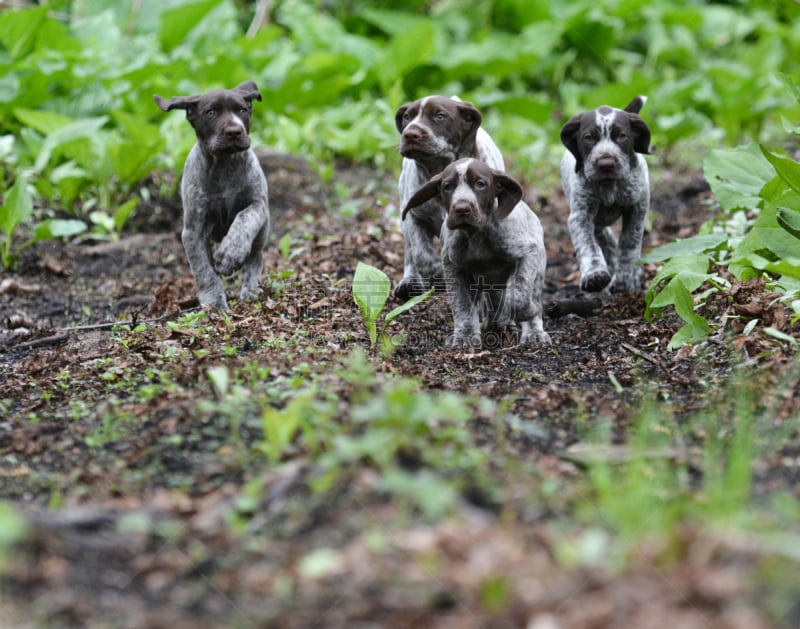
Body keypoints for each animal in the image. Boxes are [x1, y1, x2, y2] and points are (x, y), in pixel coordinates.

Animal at [153, 79, 272, 310]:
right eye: (211, 112)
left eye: (242, 110)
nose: (234, 131)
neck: (224, 165)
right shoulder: (193, 230)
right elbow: (203, 270)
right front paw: (214, 303)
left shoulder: (257, 205)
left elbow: (243, 220)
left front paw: (229, 254)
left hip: (263, 230)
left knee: (255, 257)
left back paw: (251, 289)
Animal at [396, 95, 506, 300]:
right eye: (407, 117)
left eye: (440, 116)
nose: (410, 134)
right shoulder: (414, 217)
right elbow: (421, 254)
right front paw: (436, 276)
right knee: (410, 252)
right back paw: (410, 281)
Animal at [400, 157, 552, 348]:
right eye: (447, 186)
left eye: (480, 184)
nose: (462, 208)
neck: (476, 235)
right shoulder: (453, 269)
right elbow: (463, 305)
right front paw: (465, 336)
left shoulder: (528, 252)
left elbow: (520, 293)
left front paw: (527, 311)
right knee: (494, 298)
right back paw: (498, 322)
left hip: (537, 266)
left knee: (531, 294)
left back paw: (533, 332)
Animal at [560, 96, 652, 296]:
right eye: (588, 137)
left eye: (622, 136)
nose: (606, 163)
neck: (609, 185)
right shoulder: (581, 216)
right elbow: (588, 245)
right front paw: (594, 274)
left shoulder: (638, 208)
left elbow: (629, 242)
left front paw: (626, 277)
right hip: (597, 222)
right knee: (605, 239)